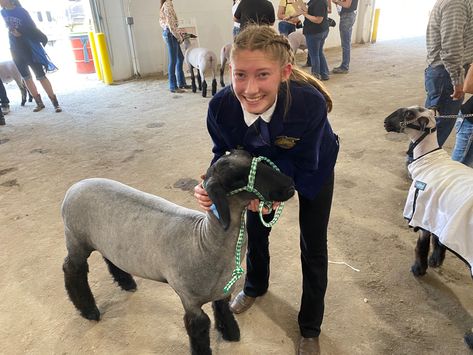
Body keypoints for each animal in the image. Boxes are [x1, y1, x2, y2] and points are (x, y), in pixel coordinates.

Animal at [60, 150, 294, 355]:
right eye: (237, 179)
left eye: (255, 158)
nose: (290, 185)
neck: (204, 240)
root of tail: (74, 187)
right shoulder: (189, 299)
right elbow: (200, 327)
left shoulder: (221, 290)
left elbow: (224, 310)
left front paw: (231, 334)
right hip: (76, 239)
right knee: (72, 270)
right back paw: (89, 311)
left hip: (107, 241)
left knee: (110, 259)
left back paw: (126, 283)